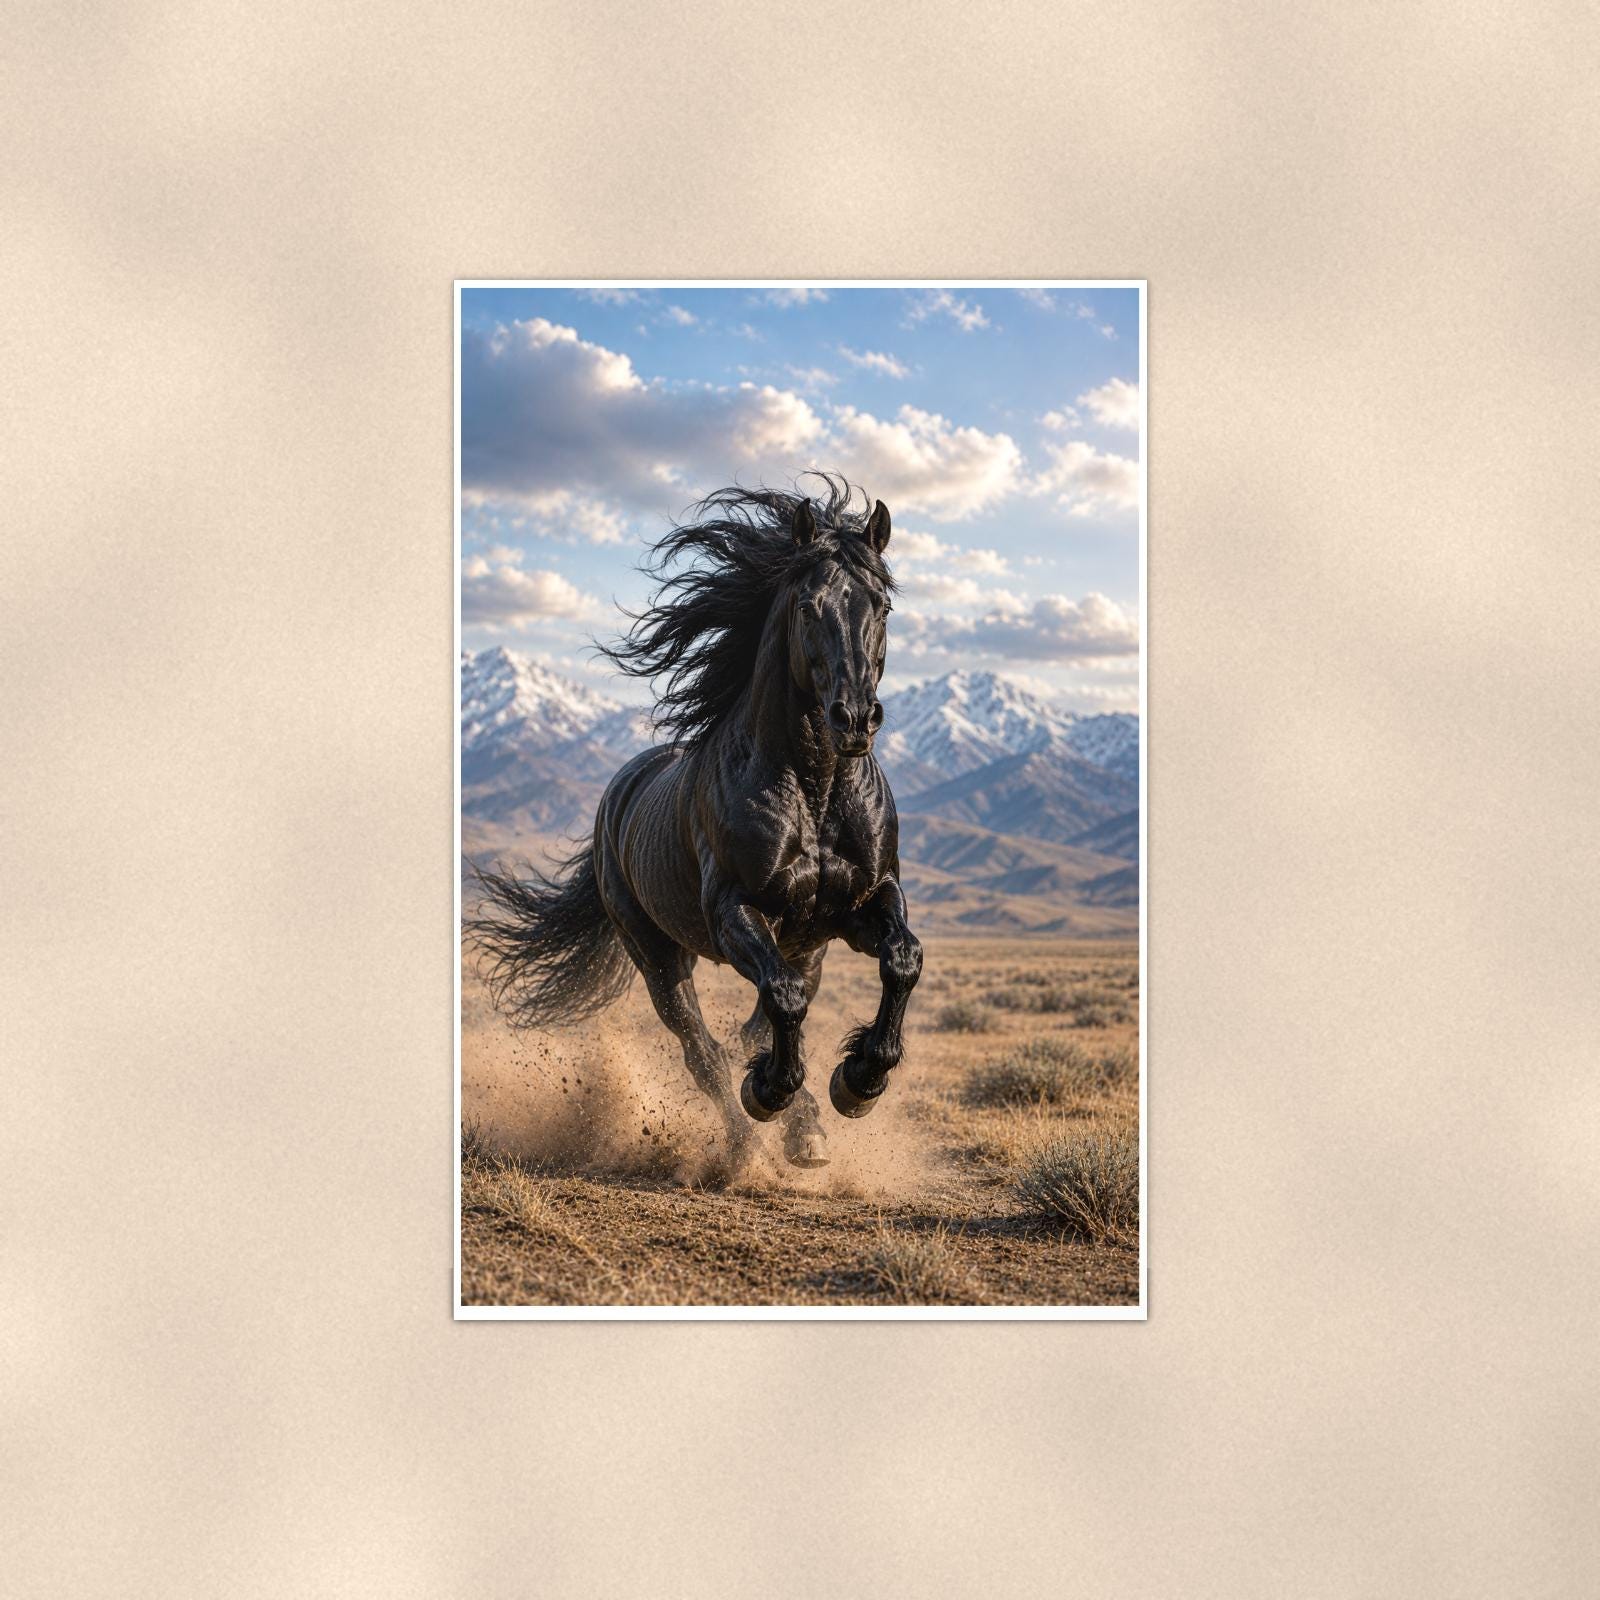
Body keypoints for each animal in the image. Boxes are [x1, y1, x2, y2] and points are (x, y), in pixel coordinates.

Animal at [467, 476, 922, 1171]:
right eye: (807, 607)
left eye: (883, 607)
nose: (853, 719)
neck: (814, 789)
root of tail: (617, 798)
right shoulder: (734, 910)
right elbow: (778, 1003)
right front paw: (769, 1092)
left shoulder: (866, 900)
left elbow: (901, 959)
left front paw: (859, 1082)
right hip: (657, 957)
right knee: (704, 1051)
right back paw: (746, 1145)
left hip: (809, 946)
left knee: (762, 1019)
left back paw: (807, 1131)